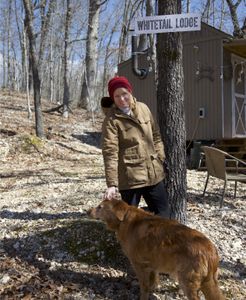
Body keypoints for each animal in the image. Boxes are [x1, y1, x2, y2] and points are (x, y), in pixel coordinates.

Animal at [90, 199, 225, 300]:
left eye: (100, 207)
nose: (88, 211)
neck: (124, 220)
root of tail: (210, 249)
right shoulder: (152, 263)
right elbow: (153, 279)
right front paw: (154, 288)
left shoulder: (139, 264)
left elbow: (144, 286)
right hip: (207, 281)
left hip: (187, 280)